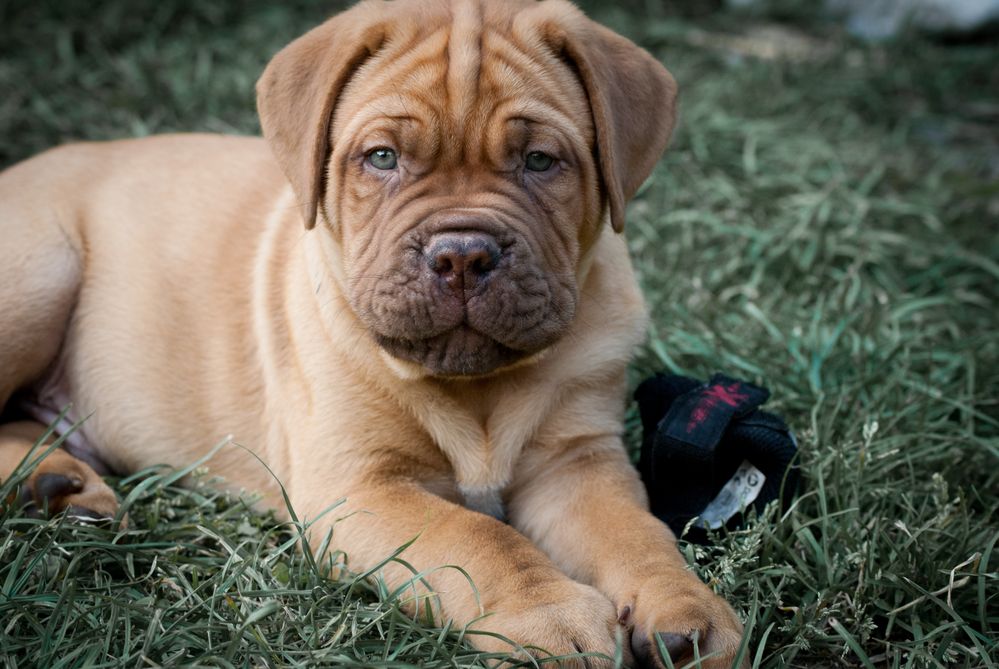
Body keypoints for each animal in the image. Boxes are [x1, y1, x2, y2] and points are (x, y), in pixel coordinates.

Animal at [0, 0, 752, 664]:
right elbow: (477, 536)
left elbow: (636, 531)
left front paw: (684, 606)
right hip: (38, 275)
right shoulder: (358, 487)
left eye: (540, 161)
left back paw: (58, 484)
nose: (462, 253)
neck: (476, 388)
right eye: (383, 157)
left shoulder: (577, 462)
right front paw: (550, 614)